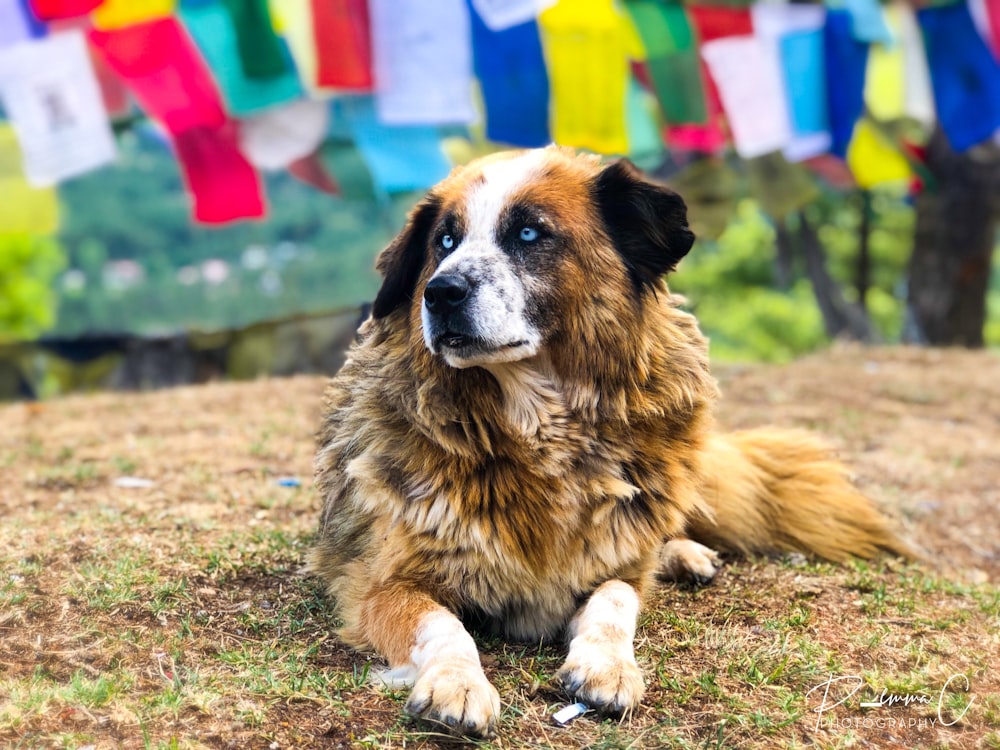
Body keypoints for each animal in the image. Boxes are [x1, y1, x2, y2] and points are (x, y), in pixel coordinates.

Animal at [312, 148, 916, 740]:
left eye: (529, 233)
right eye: (444, 241)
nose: (441, 293)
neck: (536, 428)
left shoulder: (612, 562)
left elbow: (617, 598)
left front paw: (607, 666)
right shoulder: (383, 583)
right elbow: (443, 625)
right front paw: (456, 683)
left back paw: (685, 554)